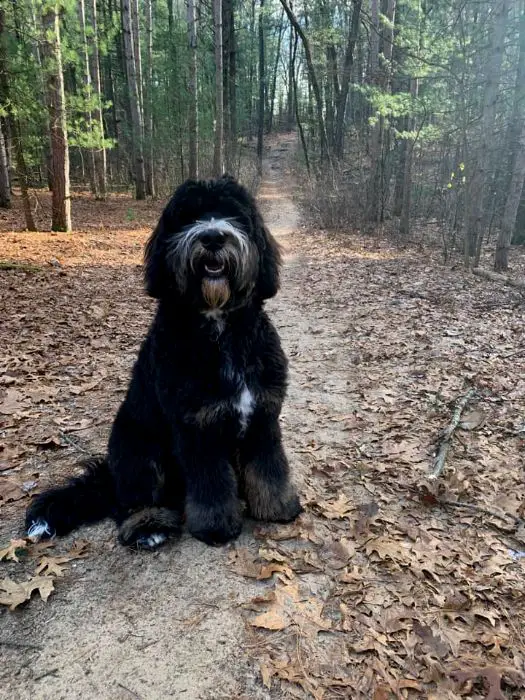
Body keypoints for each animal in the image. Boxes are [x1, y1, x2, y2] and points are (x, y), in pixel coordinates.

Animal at [25, 174, 302, 548]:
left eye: (234, 215)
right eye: (188, 217)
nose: (213, 237)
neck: (219, 328)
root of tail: (108, 478)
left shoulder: (263, 415)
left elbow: (269, 468)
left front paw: (278, 508)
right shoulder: (196, 427)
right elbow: (211, 485)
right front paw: (216, 527)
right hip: (139, 449)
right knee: (132, 501)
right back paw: (149, 525)